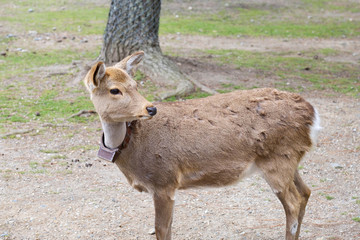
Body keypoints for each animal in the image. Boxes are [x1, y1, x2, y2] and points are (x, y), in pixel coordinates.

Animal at [83, 51, 320, 239]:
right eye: (115, 90)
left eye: (135, 85)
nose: (150, 108)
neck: (132, 149)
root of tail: (311, 114)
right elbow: (168, 228)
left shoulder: (164, 180)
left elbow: (162, 229)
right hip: (289, 158)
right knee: (306, 192)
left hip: (277, 160)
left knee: (293, 203)